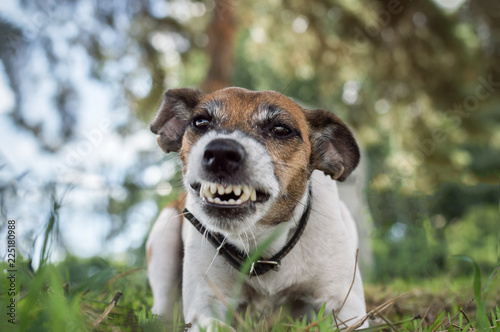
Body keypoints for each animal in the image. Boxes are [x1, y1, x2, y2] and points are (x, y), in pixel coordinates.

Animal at [145, 87, 368, 330]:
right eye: (200, 122)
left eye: (281, 129)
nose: (221, 152)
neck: (261, 245)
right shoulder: (205, 301)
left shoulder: (345, 303)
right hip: (163, 246)